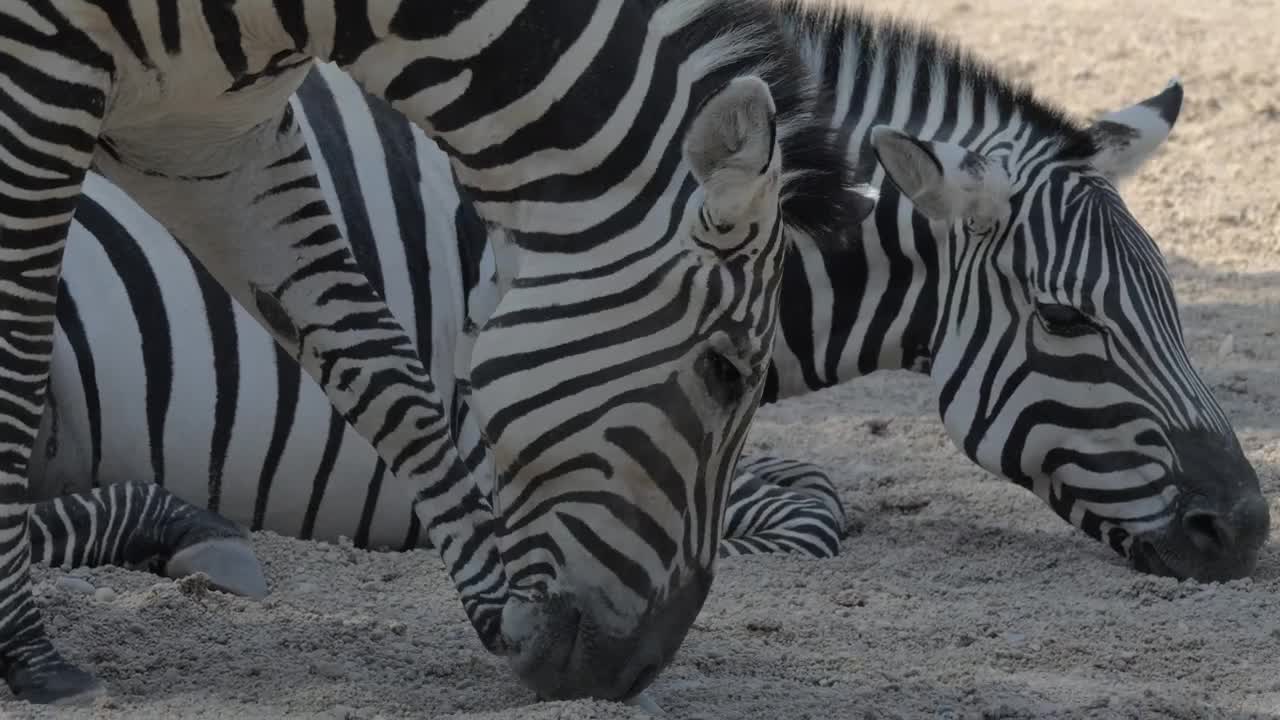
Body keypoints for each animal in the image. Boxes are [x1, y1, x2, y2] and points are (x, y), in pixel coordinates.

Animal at [0, 0, 867, 705]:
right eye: (725, 372)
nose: (629, 676)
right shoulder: (40, 70)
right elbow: (13, 356)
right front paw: (29, 654)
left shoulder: (200, 137)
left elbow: (376, 360)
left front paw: (496, 610)